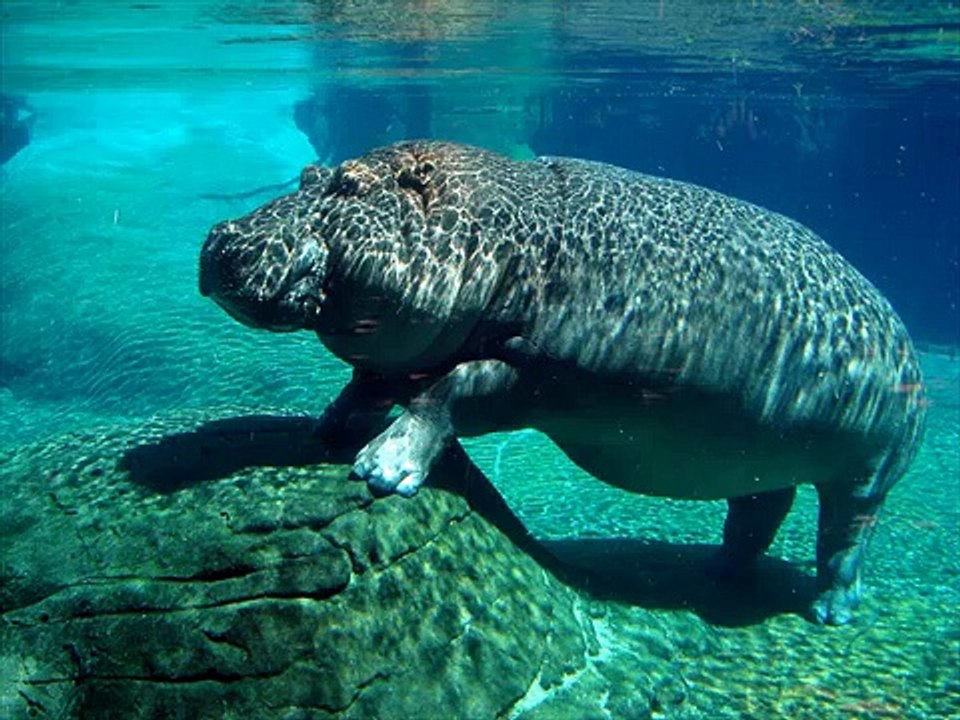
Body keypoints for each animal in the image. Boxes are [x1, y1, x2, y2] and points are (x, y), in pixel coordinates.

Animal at [198, 141, 926, 624]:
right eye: (309, 173)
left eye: (350, 186)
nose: (221, 235)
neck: (487, 229)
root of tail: (903, 331)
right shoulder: (405, 355)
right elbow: (368, 383)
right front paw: (326, 429)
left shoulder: (536, 375)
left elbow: (442, 395)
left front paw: (381, 469)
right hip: (760, 452)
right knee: (759, 509)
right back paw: (718, 575)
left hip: (868, 470)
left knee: (844, 536)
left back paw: (832, 610)